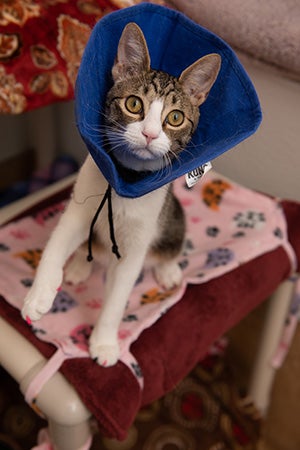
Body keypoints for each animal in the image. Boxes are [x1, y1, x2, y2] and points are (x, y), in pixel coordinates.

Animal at [21, 21, 220, 368]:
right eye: (134, 104)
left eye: (175, 118)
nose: (150, 134)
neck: (123, 183)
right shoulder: (80, 203)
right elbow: (59, 240)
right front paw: (39, 294)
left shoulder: (139, 239)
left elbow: (118, 295)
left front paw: (103, 343)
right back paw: (79, 266)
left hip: (171, 216)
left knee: (172, 240)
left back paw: (167, 269)